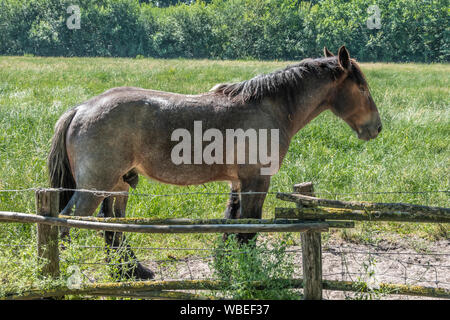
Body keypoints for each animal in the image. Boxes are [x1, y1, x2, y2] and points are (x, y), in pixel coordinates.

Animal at [48, 46, 380, 278]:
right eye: (362, 88)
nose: (376, 128)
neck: (269, 108)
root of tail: (81, 108)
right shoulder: (256, 181)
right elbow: (248, 230)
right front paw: (249, 272)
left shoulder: (237, 183)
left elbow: (231, 225)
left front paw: (227, 265)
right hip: (93, 189)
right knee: (64, 223)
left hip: (118, 186)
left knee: (114, 228)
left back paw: (130, 272)